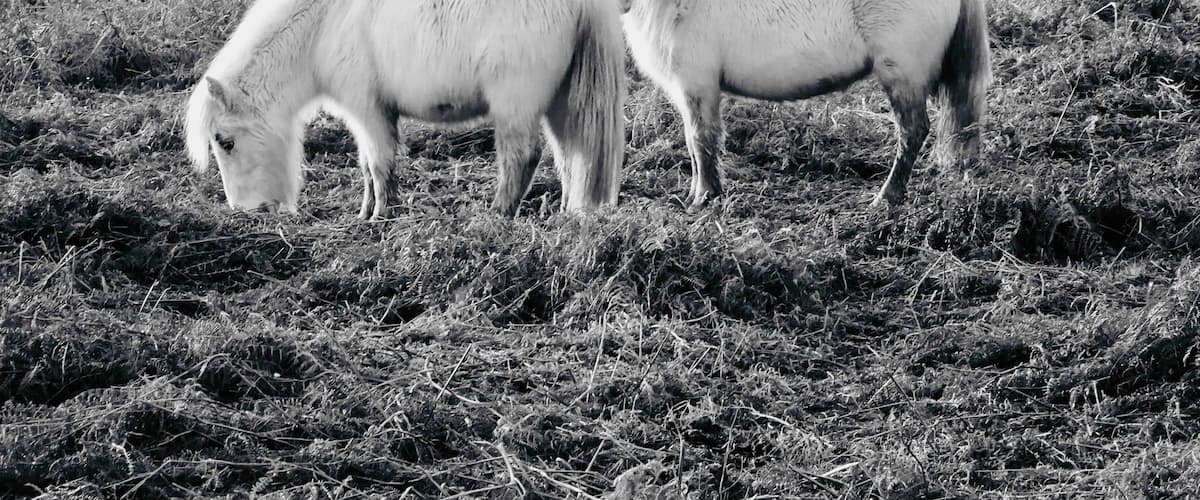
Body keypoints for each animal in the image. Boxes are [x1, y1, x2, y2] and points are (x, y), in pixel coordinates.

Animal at [186, 0, 627, 219]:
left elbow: (380, 165)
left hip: (514, 107)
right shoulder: (367, 115)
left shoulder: (368, 110)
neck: (323, 24)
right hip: (560, 105)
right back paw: (567, 215)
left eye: (225, 142)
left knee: (522, 158)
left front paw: (381, 217)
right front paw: (366, 214)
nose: (245, 211)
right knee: (571, 157)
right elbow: (368, 167)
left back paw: (498, 215)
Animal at [620, 0, 991, 211]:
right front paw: (696, 193)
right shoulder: (689, 89)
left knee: (913, 131)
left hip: (902, 73)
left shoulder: (697, 85)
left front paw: (705, 197)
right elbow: (693, 143)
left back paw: (886, 197)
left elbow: (702, 140)